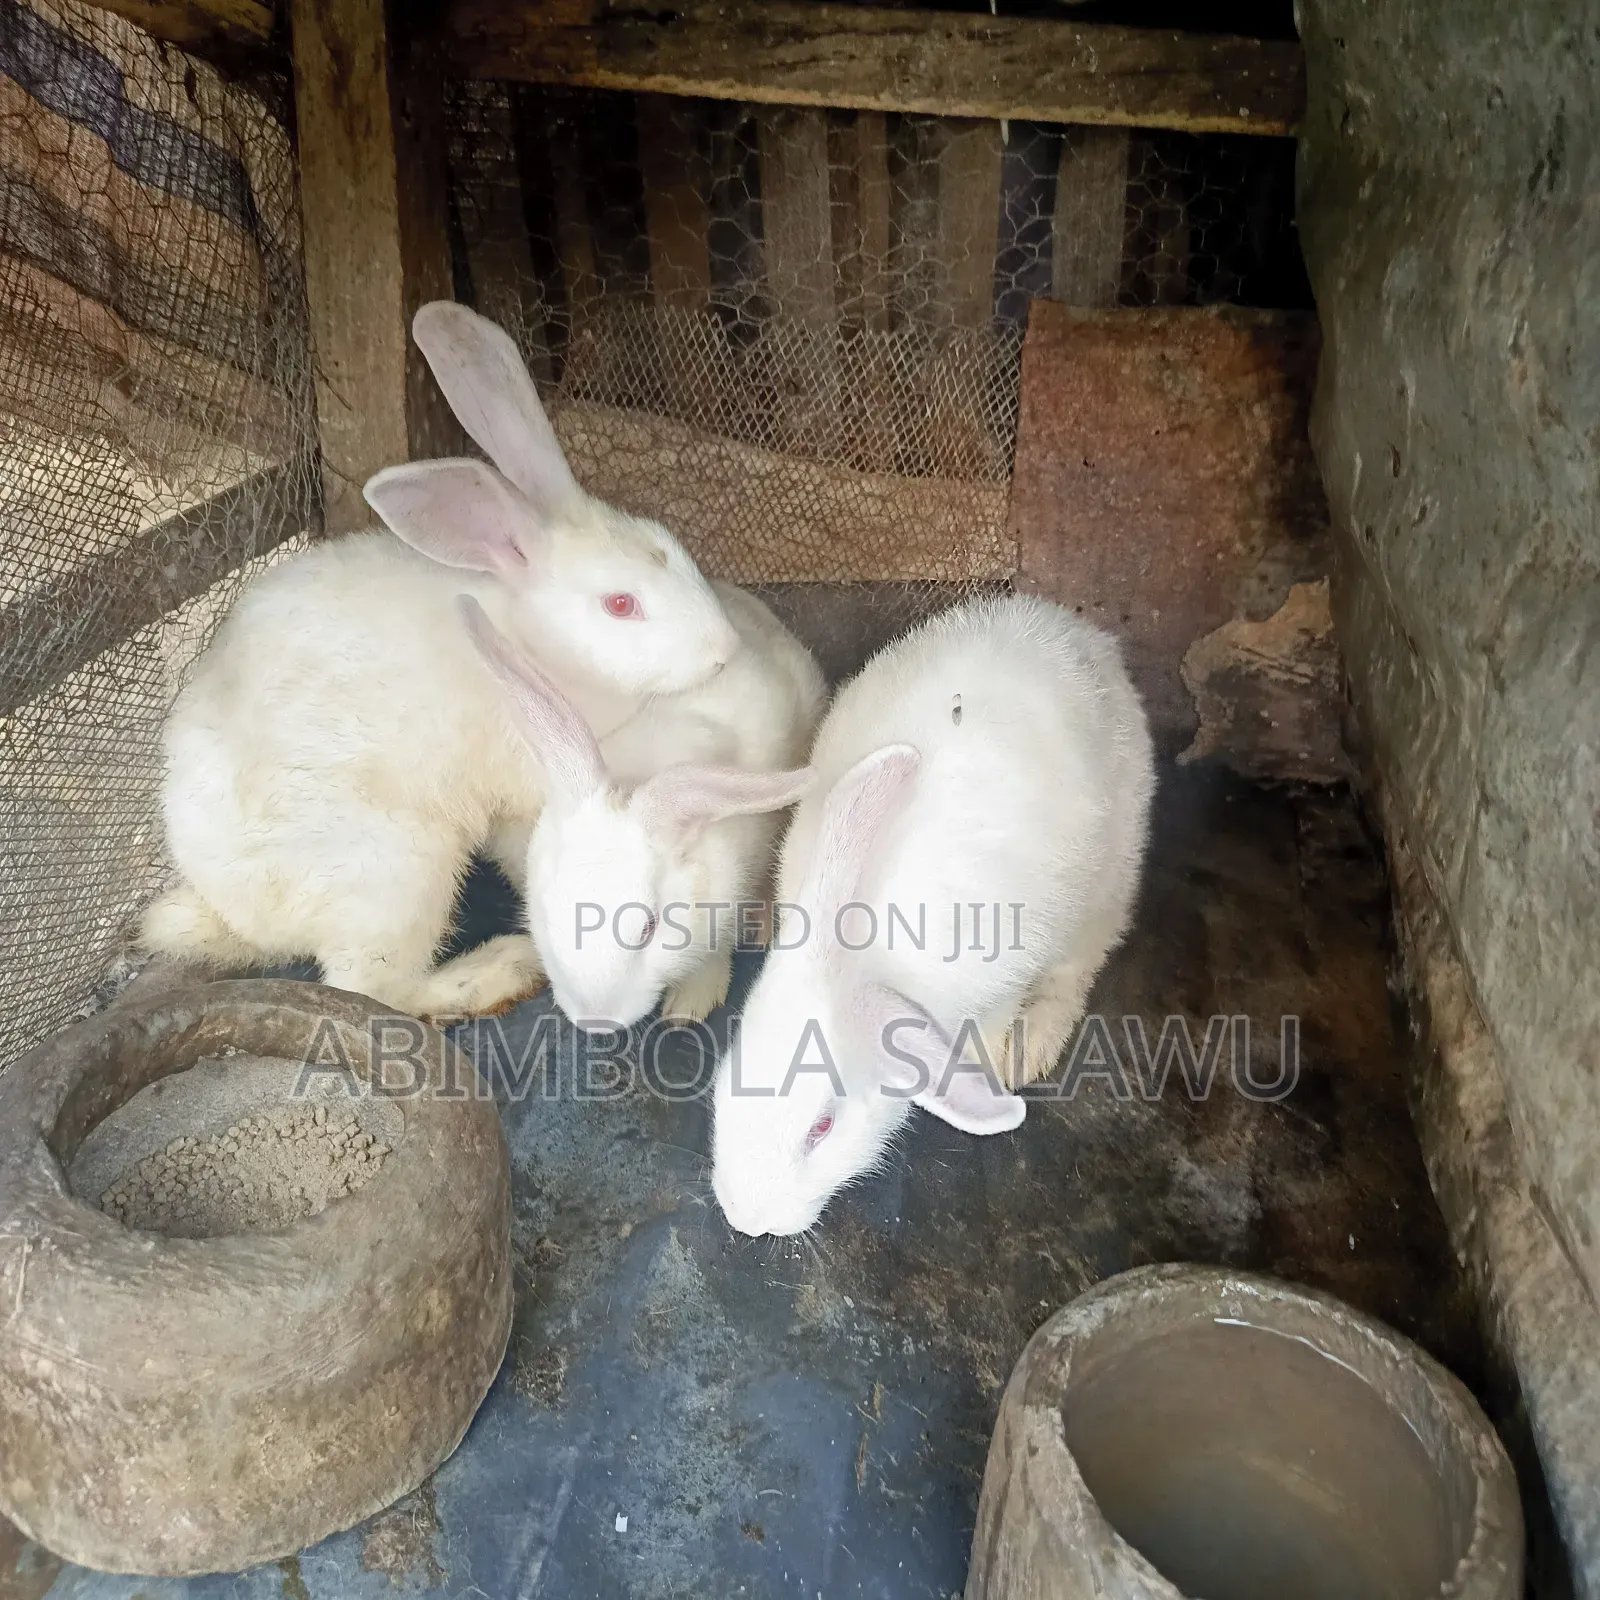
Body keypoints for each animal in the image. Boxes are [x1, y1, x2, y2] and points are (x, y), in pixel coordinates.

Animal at [142, 301, 740, 1022]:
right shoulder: (525, 791)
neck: (535, 639)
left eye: (668, 544)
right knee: (374, 990)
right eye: (621, 604)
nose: (725, 649)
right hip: (399, 869)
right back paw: (501, 970)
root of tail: (236, 916)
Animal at [711, 593, 1156, 1237]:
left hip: (1111, 874)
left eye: (822, 1128)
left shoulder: (998, 985)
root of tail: (1082, 634)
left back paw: (1031, 1047)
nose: (744, 1219)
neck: (859, 959)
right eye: (728, 1076)